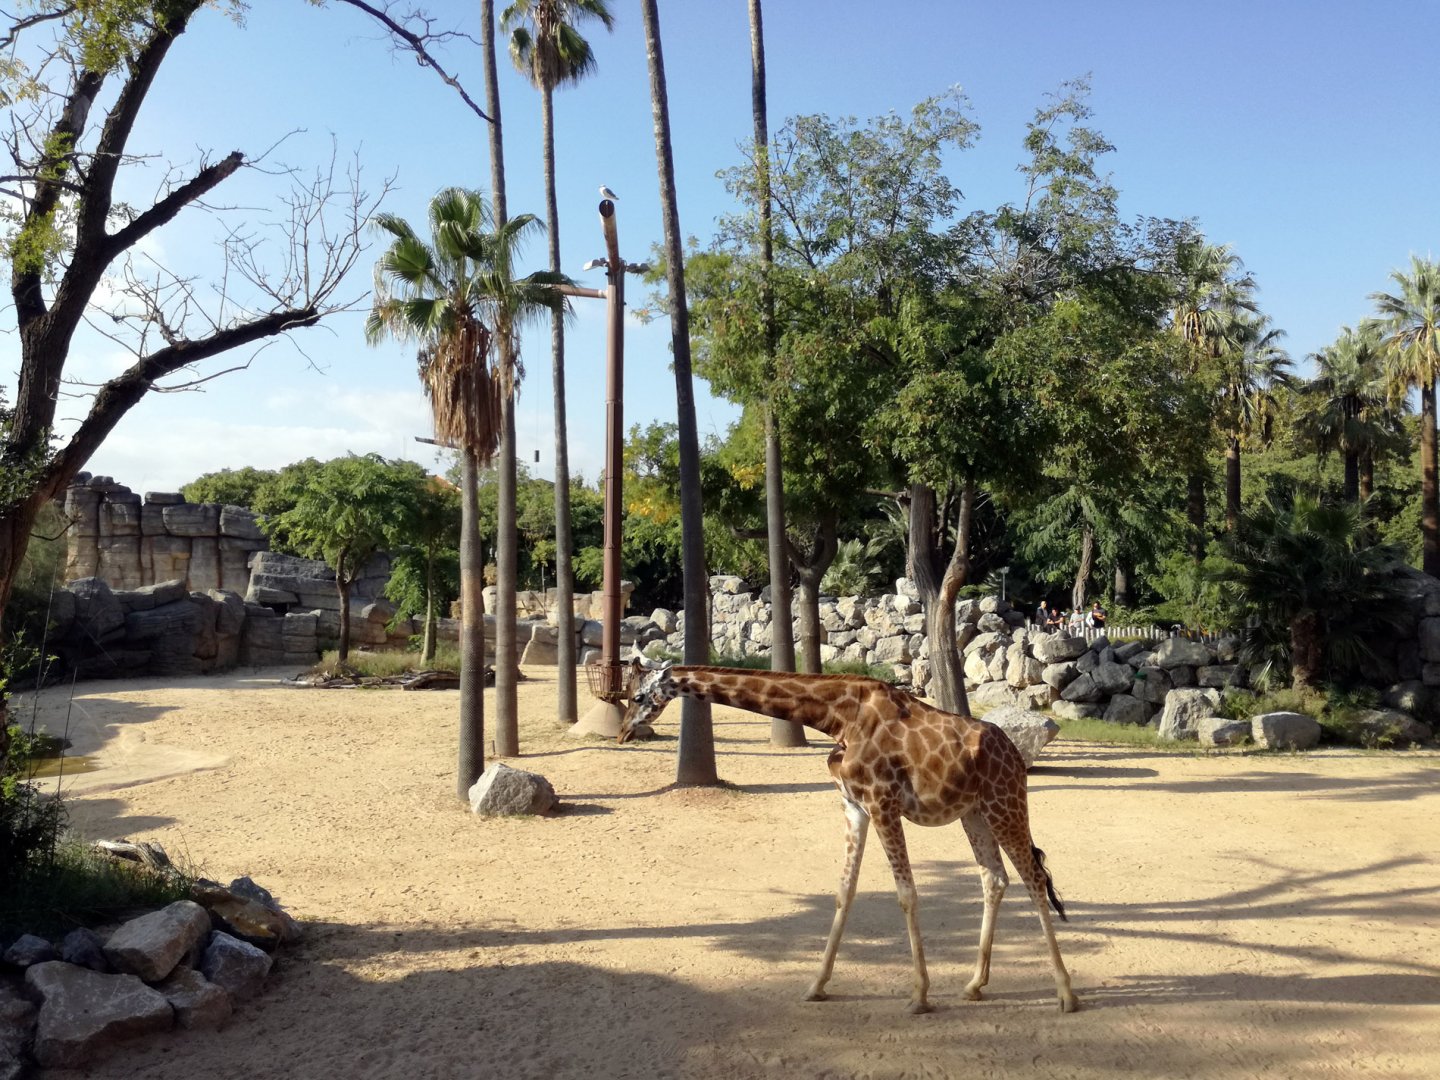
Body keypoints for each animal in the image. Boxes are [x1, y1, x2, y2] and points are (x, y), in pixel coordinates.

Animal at [619, 663, 1078, 1014]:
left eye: (638, 696)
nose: (623, 733)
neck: (838, 718)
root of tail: (1015, 755)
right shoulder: (853, 805)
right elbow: (844, 890)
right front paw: (816, 985)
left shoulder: (882, 803)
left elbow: (906, 894)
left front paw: (918, 996)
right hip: (975, 813)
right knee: (994, 879)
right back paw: (974, 984)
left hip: (1005, 802)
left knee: (1034, 879)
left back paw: (1066, 994)